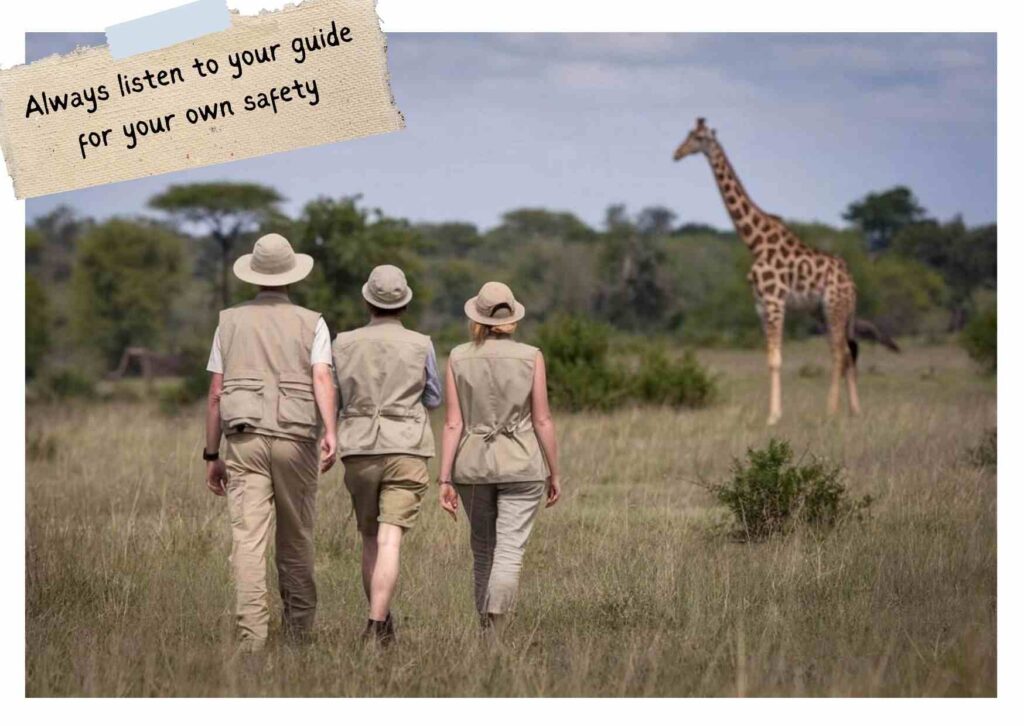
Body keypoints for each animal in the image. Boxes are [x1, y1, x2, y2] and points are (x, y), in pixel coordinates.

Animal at [673, 118, 898, 425]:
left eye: (697, 138)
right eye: (688, 135)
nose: (677, 153)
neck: (755, 242)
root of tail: (852, 285)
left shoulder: (775, 301)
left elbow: (776, 359)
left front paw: (773, 416)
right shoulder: (760, 305)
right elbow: (770, 358)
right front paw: (774, 413)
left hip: (834, 308)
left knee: (840, 353)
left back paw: (831, 411)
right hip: (826, 312)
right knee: (848, 352)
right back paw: (854, 412)